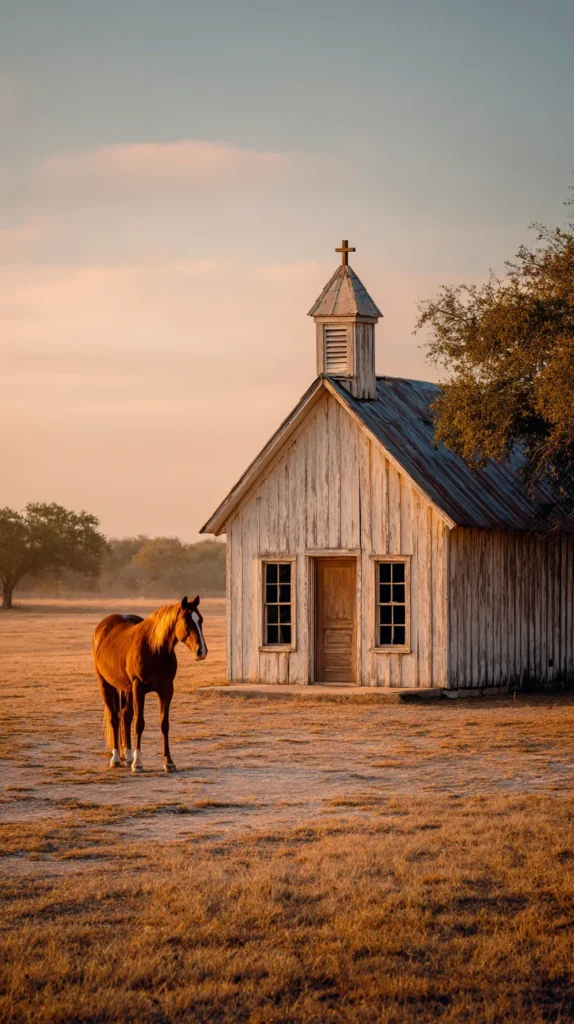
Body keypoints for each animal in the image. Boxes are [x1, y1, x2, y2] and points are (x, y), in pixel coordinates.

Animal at [92, 595, 207, 773]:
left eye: (200, 620)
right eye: (186, 621)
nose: (201, 651)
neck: (155, 649)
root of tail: (102, 627)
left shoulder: (167, 690)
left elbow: (164, 724)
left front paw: (169, 762)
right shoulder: (139, 688)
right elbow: (139, 723)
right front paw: (138, 763)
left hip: (127, 688)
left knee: (125, 716)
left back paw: (128, 755)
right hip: (106, 685)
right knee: (114, 719)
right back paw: (116, 758)